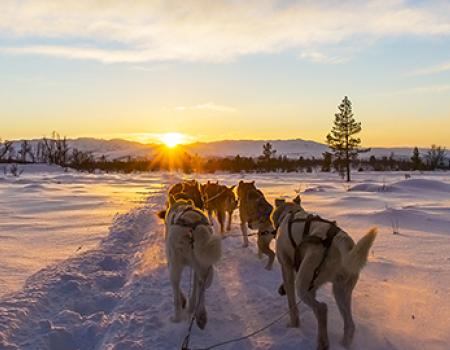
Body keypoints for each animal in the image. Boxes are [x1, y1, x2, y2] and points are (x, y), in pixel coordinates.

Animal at [157, 197, 222, 330]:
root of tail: (195, 226)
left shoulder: (170, 263)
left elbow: (180, 293)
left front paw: (184, 302)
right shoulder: (197, 268)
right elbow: (195, 289)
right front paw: (191, 306)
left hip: (175, 266)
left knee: (176, 293)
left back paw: (176, 318)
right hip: (204, 265)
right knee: (202, 285)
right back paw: (201, 314)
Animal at [274, 196, 376, 348]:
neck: (291, 213)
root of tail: (340, 241)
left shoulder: (286, 266)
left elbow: (291, 303)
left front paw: (293, 324)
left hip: (303, 285)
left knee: (322, 309)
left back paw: (323, 343)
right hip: (341, 291)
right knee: (350, 324)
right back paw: (343, 344)